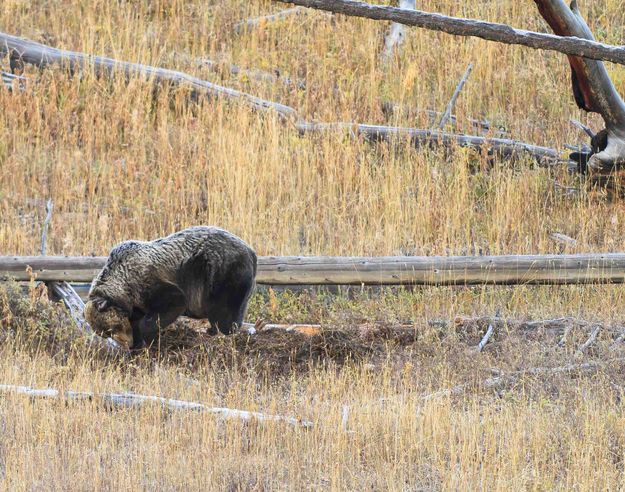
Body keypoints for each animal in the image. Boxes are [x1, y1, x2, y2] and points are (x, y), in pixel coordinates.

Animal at [84, 227, 256, 350]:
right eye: (107, 334)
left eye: (113, 328)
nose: (128, 343)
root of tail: (251, 251)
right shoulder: (135, 301)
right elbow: (137, 318)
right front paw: (138, 343)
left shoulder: (148, 282)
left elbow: (174, 301)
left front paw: (147, 336)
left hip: (221, 273)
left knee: (224, 311)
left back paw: (221, 330)